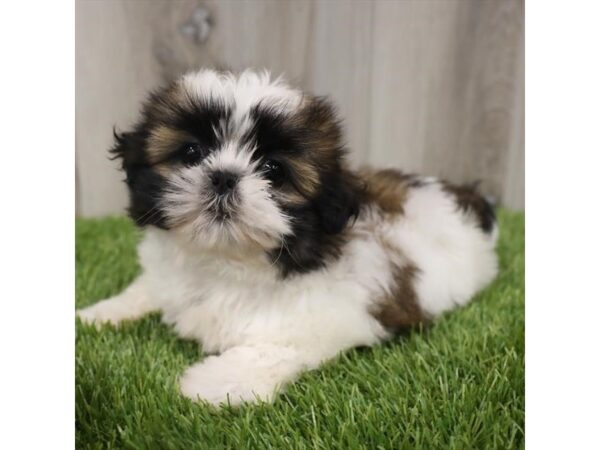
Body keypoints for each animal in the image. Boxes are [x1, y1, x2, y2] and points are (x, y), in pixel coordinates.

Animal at [76, 68, 496, 406]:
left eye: (273, 170)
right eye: (192, 152)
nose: (224, 176)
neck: (223, 261)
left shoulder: (326, 319)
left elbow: (273, 347)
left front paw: (215, 384)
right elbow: (146, 289)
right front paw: (100, 314)